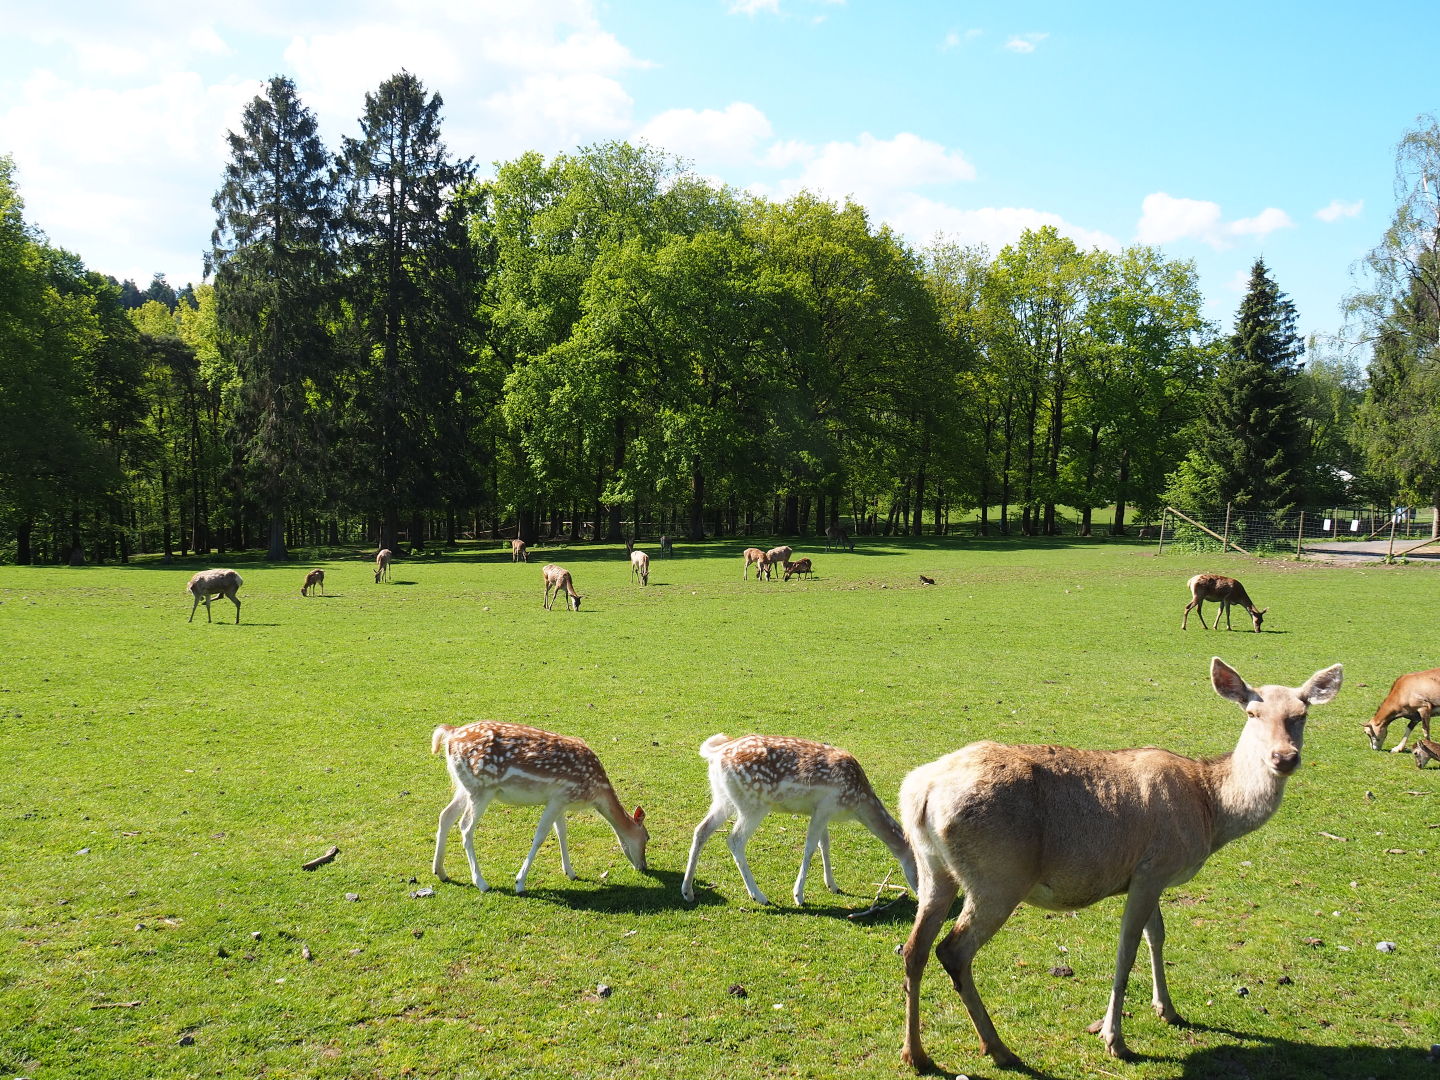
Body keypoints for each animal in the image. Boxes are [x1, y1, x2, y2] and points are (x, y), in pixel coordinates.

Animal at [431, 722, 648, 893]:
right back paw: (481, 883)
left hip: (464, 786)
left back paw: (440, 872)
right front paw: (520, 883)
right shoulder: (561, 798)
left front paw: (571, 872)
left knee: (445, 815)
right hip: (482, 788)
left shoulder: (559, 800)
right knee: (465, 827)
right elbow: (540, 836)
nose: (644, 866)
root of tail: (450, 733)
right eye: (647, 837)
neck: (595, 792)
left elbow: (561, 832)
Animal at [681, 734, 918, 907]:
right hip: (753, 805)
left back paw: (688, 891)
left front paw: (832, 885)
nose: (921, 894)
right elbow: (810, 847)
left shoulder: (820, 810)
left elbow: (824, 844)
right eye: (921, 866)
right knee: (735, 840)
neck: (858, 801)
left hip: (723, 798)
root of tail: (715, 754)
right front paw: (799, 896)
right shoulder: (826, 807)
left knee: (701, 830)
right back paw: (759, 896)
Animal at [896, 657, 1342, 1072]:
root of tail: (920, 791)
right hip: (999, 878)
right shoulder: (1153, 868)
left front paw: (1168, 1010)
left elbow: (1156, 935)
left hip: (933, 869)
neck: (1210, 809)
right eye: (1252, 713)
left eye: (1301, 714)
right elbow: (1127, 947)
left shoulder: (1148, 873)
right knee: (953, 951)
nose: (1284, 757)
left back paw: (916, 1054)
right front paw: (1115, 1039)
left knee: (915, 948)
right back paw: (998, 1048)